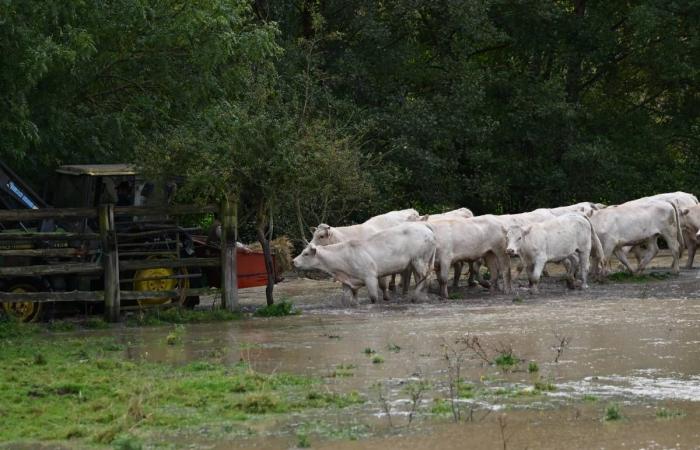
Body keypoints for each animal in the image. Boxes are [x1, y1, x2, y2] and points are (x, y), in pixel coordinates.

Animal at [292, 222, 434, 306]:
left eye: (305, 253)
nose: (293, 261)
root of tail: (425, 227)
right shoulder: (348, 282)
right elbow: (348, 300)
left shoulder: (370, 277)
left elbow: (374, 297)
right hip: (415, 263)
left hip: (419, 260)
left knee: (425, 278)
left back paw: (417, 297)